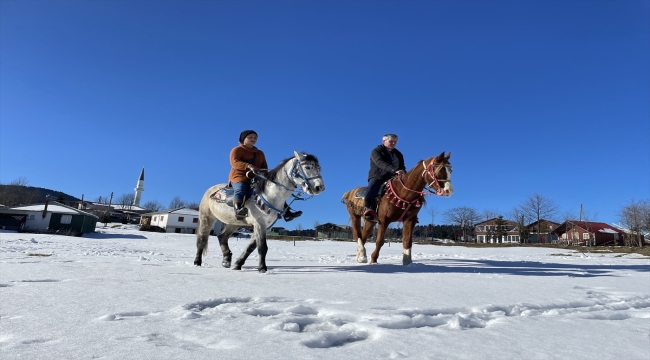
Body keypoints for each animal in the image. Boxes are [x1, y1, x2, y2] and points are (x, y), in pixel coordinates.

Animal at [192, 151, 324, 272]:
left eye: (318, 168)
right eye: (307, 167)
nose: (320, 187)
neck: (270, 194)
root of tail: (211, 190)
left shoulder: (267, 226)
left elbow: (251, 247)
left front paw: (238, 264)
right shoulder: (259, 224)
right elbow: (262, 247)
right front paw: (262, 268)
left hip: (233, 223)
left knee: (222, 237)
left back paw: (226, 260)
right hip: (207, 217)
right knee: (202, 239)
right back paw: (197, 263)